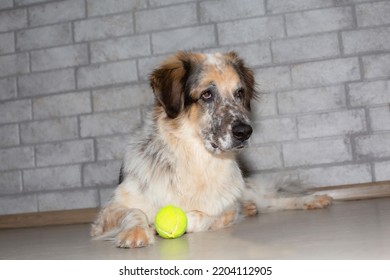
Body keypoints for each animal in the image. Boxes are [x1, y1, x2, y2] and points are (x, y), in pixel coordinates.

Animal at [91, 51, 332, 248]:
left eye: (239, 93)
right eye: (206, 94)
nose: (245, 132)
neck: (196, 160)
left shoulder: (224, 207)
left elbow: (202, 216)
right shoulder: (110, 210)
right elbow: (135, 212)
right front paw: (136, 232)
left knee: (273, 200)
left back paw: (314, 199)